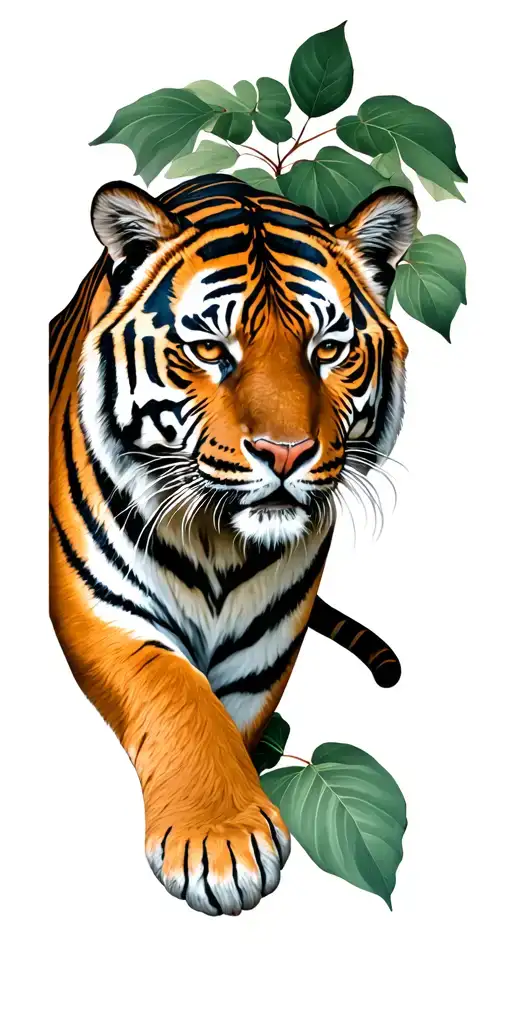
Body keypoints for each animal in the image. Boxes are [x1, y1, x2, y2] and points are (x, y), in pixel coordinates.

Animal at [49, 173, 417, 916]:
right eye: (212, 350)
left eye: (327, 349)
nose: (287, 452)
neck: (218, 541)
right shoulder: (102, 604)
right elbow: (177, 698)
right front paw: (219, 840)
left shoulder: (265, 644)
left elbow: (228, 716)